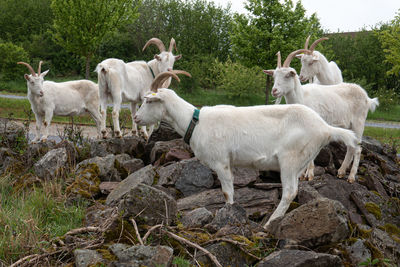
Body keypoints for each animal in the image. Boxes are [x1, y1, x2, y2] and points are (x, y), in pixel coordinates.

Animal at [133, 70, 358, 229]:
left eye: (148, 100)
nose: (135, 118)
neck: (195, 122)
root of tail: (325, 128)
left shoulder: (221, 162)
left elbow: (227, 192)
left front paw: (228, 213)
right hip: (300, 161)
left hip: (290, 159)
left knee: (289, 192)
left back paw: (270, 223)